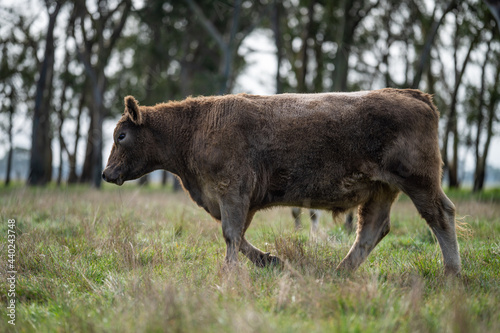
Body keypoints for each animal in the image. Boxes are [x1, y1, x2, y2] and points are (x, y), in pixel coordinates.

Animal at [101, 89, 460, 274]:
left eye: (121, 135)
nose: (106, 173)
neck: (196, 126)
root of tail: (413, 94)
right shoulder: (239, 200)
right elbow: (238, 237)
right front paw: (269, 261)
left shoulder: (232, 191)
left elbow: (231, 234)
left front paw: (230, 272)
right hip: (381, 190)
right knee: (371, 230)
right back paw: (339, 272)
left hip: (418, 181)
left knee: (440, 216)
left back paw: (452, 273)